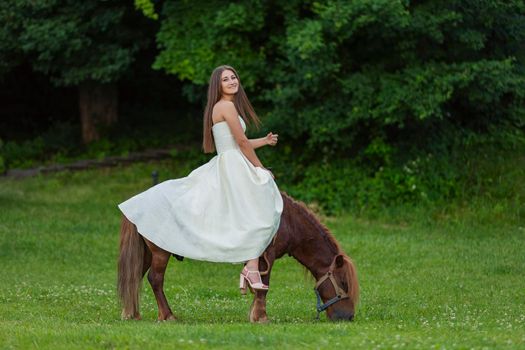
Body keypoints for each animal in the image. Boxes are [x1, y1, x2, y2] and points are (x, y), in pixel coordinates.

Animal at [116, 191, 358, 322]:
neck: (288, 221)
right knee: (155, 280)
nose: (348, 317)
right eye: (344, 283)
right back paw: (167, 315)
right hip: (160, 253)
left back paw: (132, 313)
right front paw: (261, 317)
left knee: (134, 279)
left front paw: (254, 314)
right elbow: (263, 286)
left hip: (147, 253)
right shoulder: (267, 256)